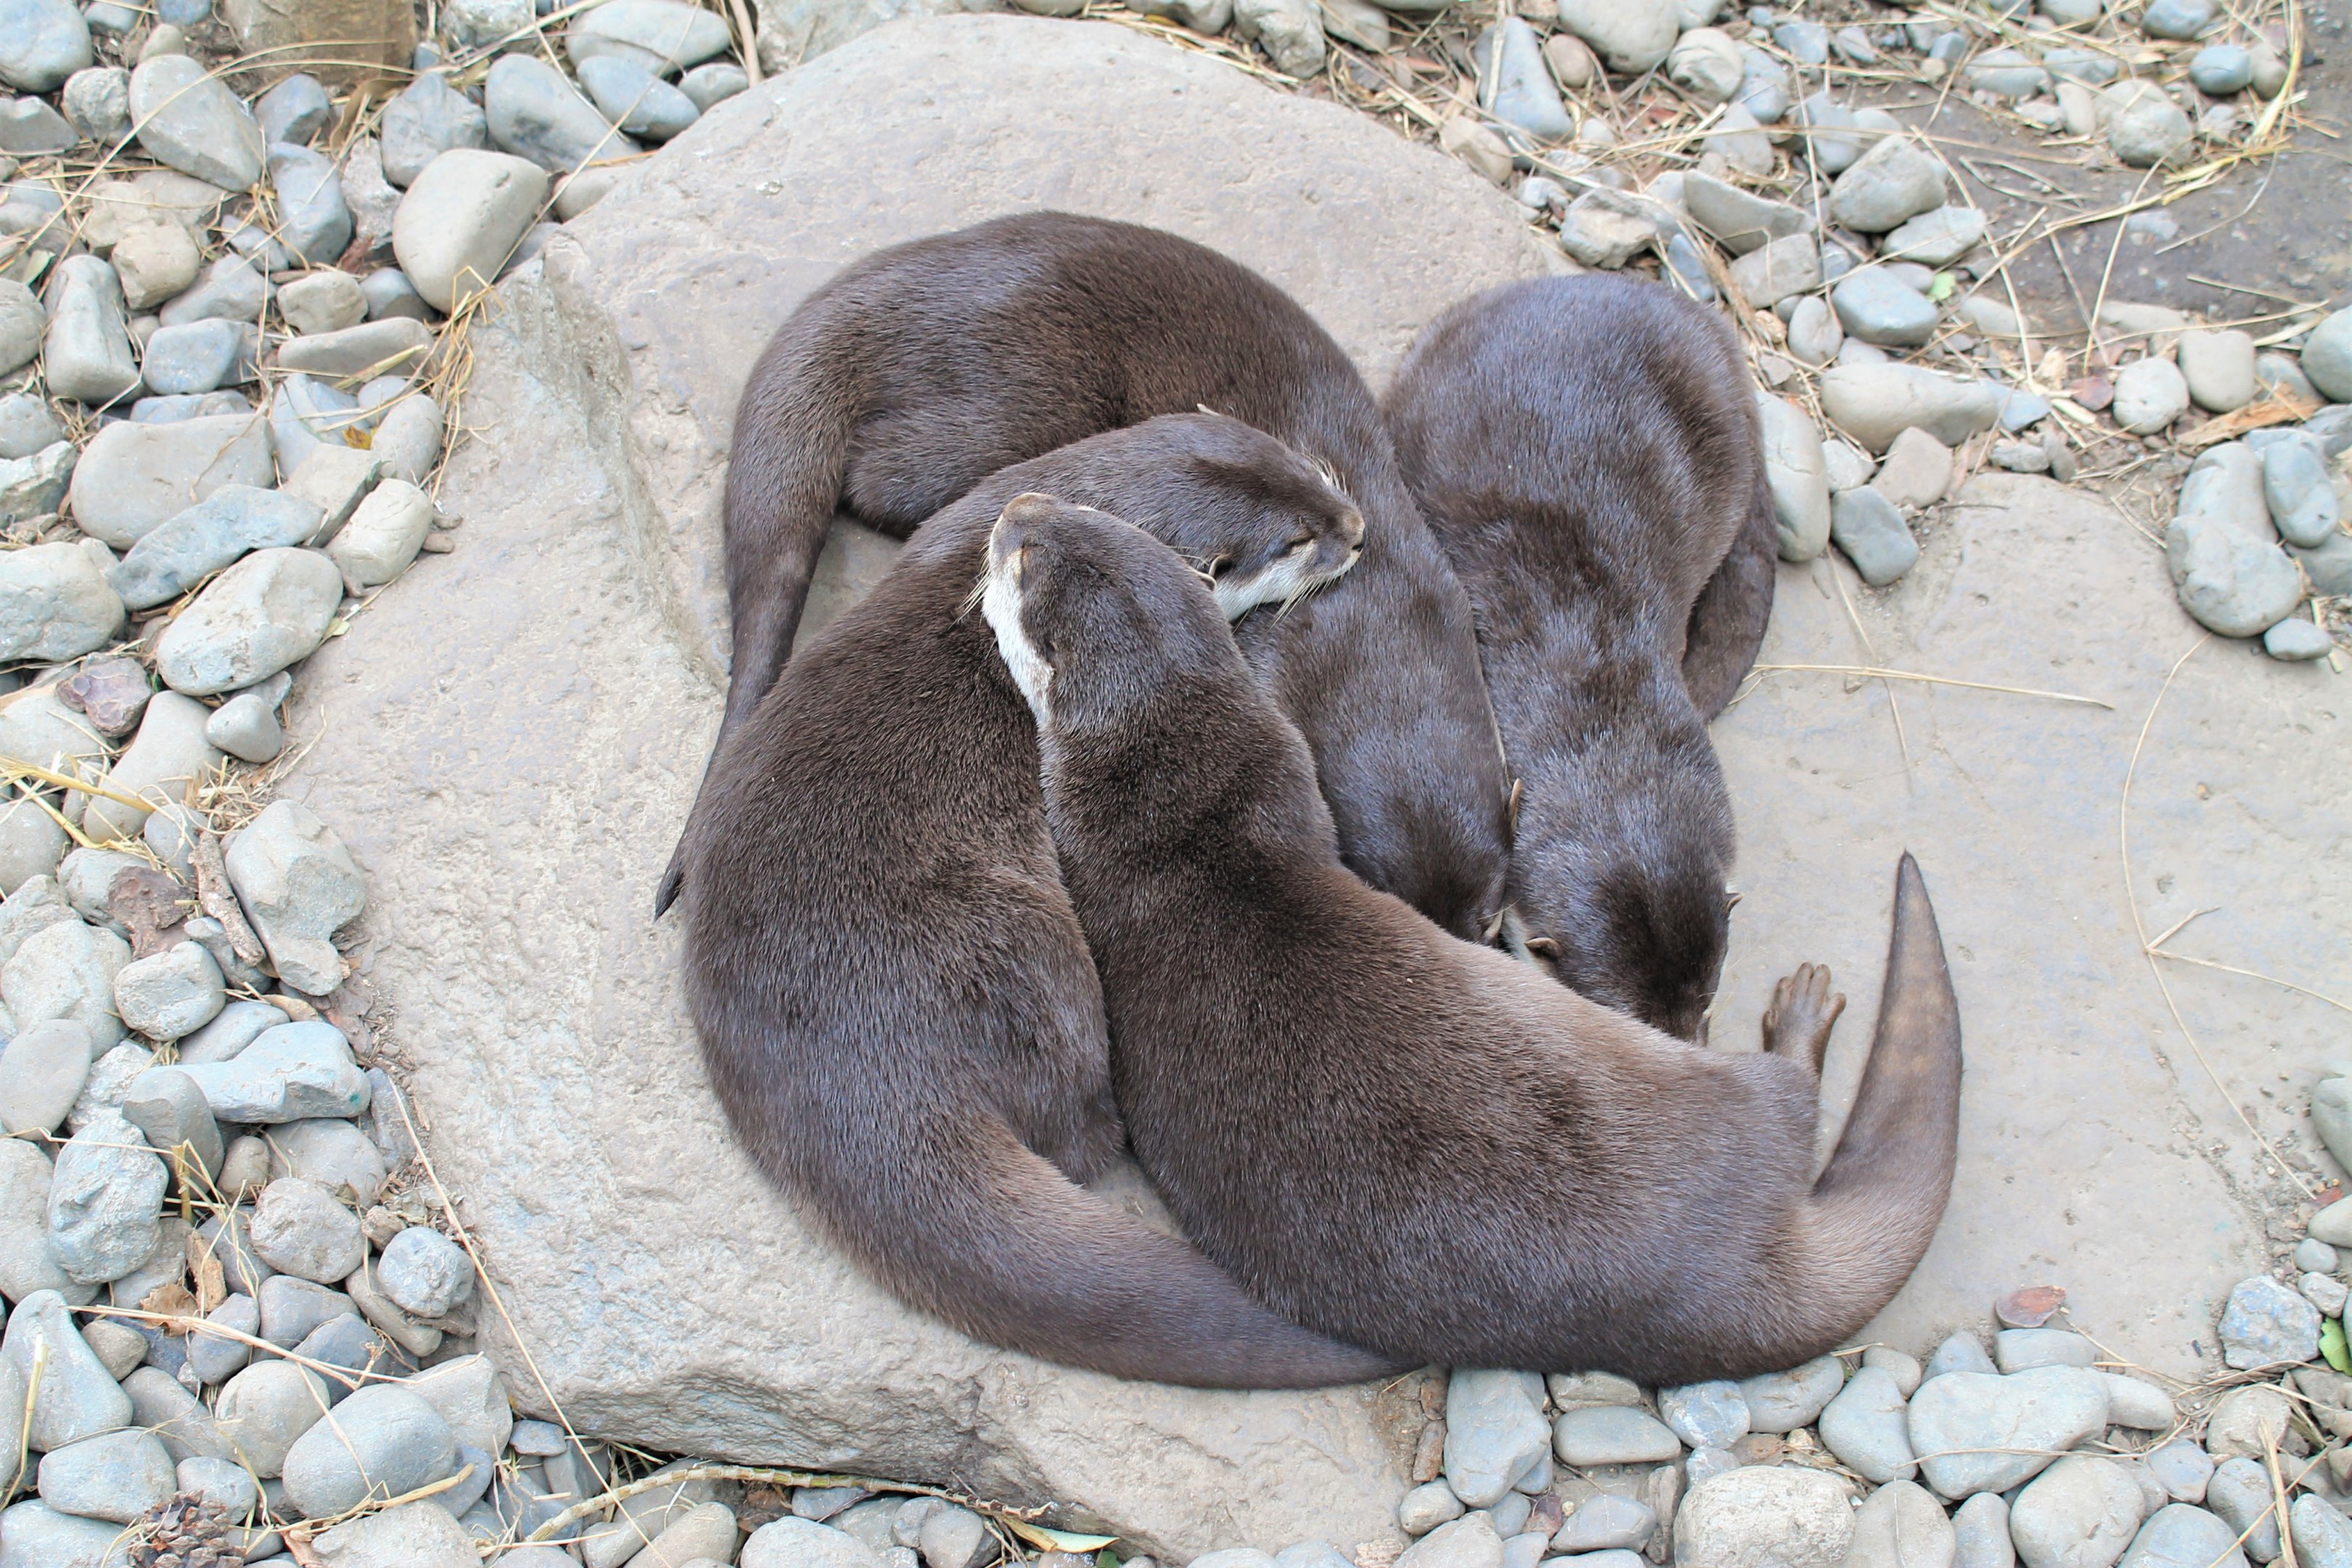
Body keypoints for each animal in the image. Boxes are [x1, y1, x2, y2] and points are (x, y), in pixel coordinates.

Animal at [658, 212, 1514, 936]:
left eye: (1306, 465)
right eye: (1300, 540)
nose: (1358, 529)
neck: (1373, 621)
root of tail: (877, 295)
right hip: (1007, 400)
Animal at [681, 417, 1396, 1387]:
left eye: (1290, 456)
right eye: (1291, 543)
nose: (1355, 529)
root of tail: (865, 1089)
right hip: (1022, 945)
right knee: (1080, 1131)